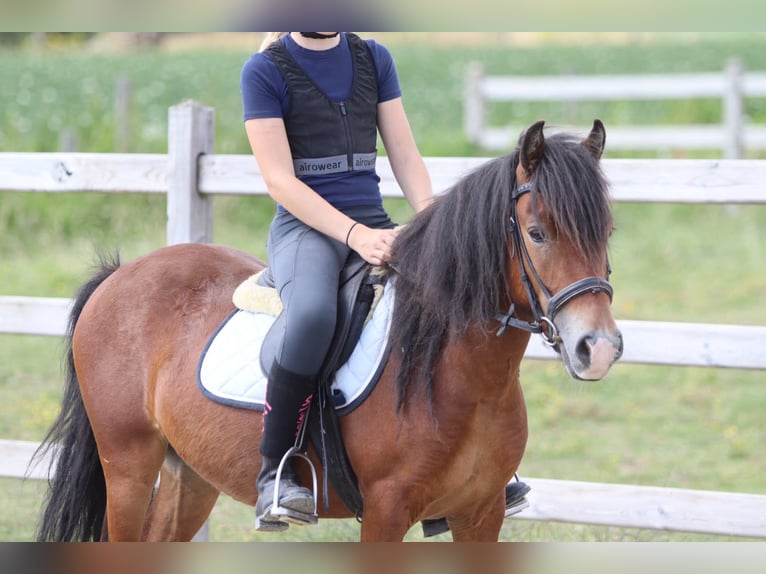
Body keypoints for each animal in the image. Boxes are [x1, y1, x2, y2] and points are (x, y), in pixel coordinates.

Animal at [34, 119, 623, 542]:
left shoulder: (480, 513)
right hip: (128, 467)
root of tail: (121, 274)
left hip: (191, 473)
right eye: (537, 233)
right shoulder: (386, 511)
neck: (459, 378)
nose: (597, 349)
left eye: (607, 231)